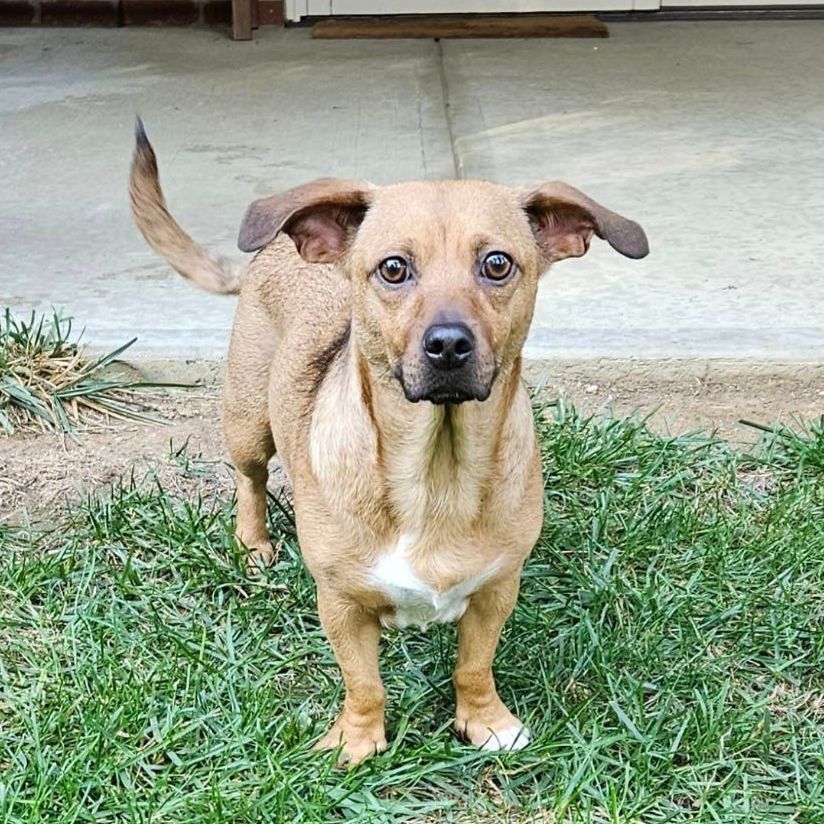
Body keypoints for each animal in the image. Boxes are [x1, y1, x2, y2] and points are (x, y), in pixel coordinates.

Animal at [129, 122, 648, 768]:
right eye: (394, 268)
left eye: (497, 264)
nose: (448, 344)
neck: (435, 470)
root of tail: (276, 246)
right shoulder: (341, 607)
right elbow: (364, 683)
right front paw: (356, 740)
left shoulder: (495, 594)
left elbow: (473, 668)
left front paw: (485, 721)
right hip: (248, 421)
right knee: (250, 479)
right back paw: (254, 543)